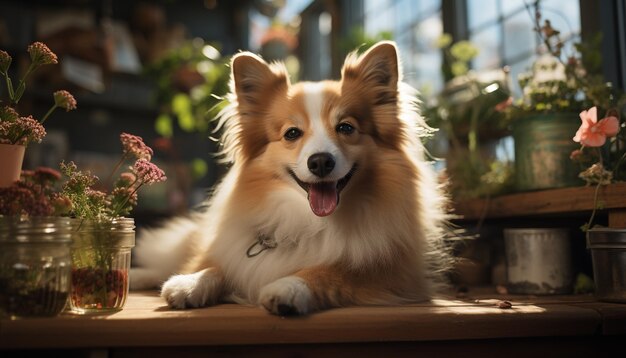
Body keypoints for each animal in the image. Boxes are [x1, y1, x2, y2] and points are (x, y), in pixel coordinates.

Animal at [130, 42, 448, 314]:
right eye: (292, 133)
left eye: (346, 128)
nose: (320, 161)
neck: (309, 221)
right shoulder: (228, 248)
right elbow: (214, 264)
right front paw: (191, 282)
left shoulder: (392, 274)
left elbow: (330, 271)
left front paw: (288, 287)